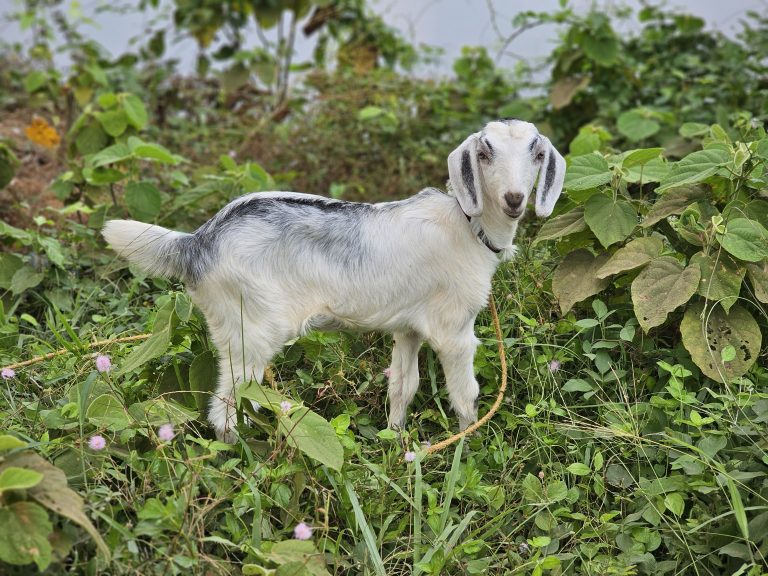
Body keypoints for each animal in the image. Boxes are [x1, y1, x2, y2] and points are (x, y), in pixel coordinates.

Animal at [103, 118, 564, 440]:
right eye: (484, 155)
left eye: (537, 155)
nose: (514, 200)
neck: (468, 225)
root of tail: (198, 242)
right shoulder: (454, 330)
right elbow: (465, 395)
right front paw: (468, 446)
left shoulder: (408, 329)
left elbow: (404, 386)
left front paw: (395, 442)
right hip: (252, 328)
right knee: (226, 407)